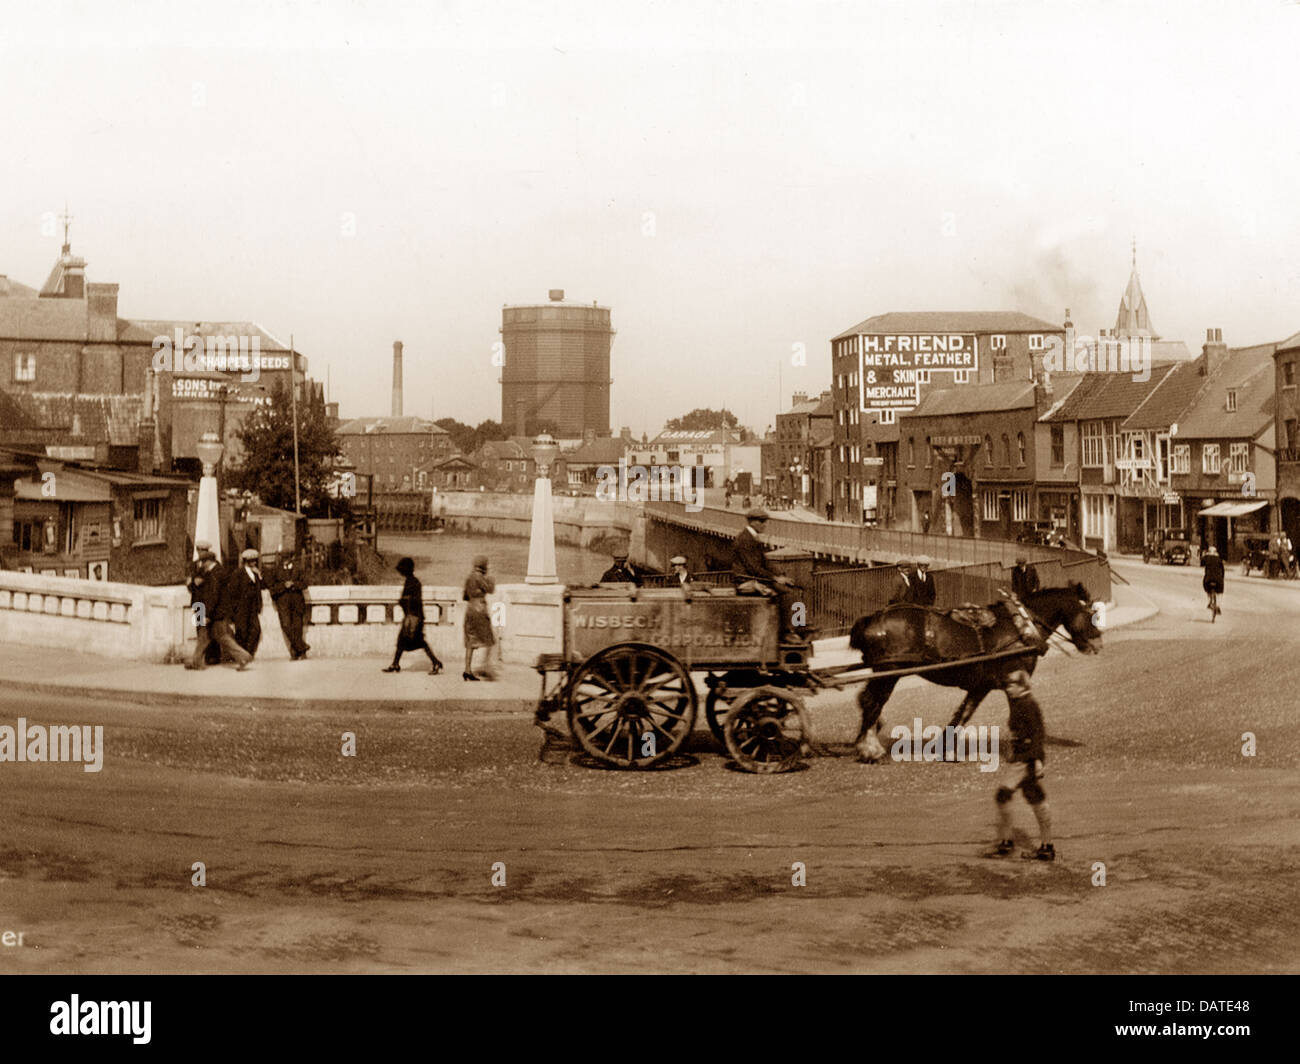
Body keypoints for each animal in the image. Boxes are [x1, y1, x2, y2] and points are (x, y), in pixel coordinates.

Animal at [847, 580, 1102, 764]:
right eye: (1091, 613)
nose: (1098, 643)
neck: (1021, 627)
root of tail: (874, 617)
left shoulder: (981, 686)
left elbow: (963, 714)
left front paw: (946, 749)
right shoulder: (1015, 681)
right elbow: (1021, 713)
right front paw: (1024, 751)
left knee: (867, 701)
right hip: (888, 672)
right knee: (872, 703)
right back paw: (869, 749)